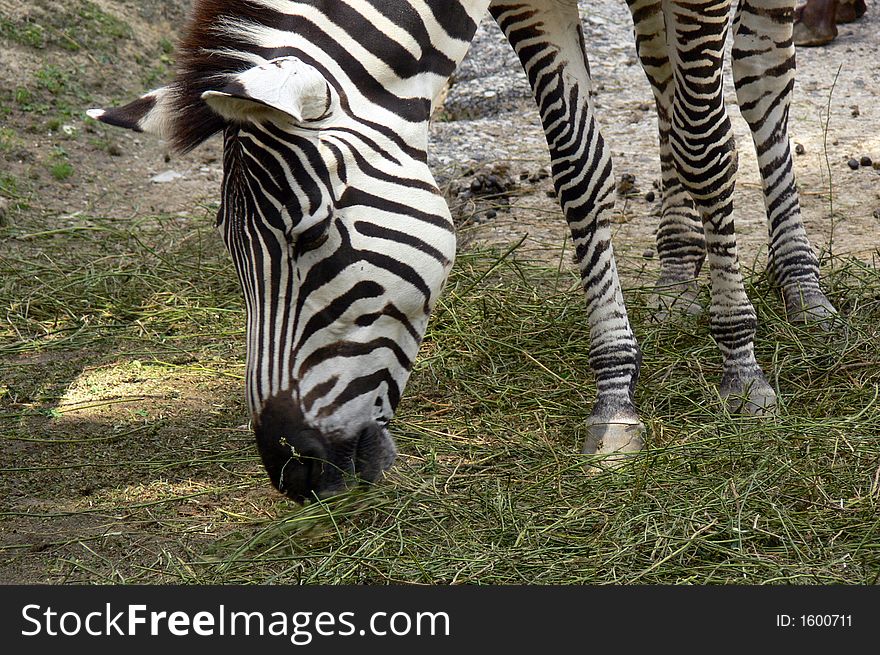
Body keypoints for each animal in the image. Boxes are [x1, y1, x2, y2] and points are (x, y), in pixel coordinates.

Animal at [87, 1, 832, 502]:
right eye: (232, 254)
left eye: (313, 234)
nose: (292, 470)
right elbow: (580, 165)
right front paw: (615, 393)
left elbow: (709, 148)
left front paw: (742, 368)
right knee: (665, 87)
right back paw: (678, 274)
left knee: (759, 84)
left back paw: (802, 287)